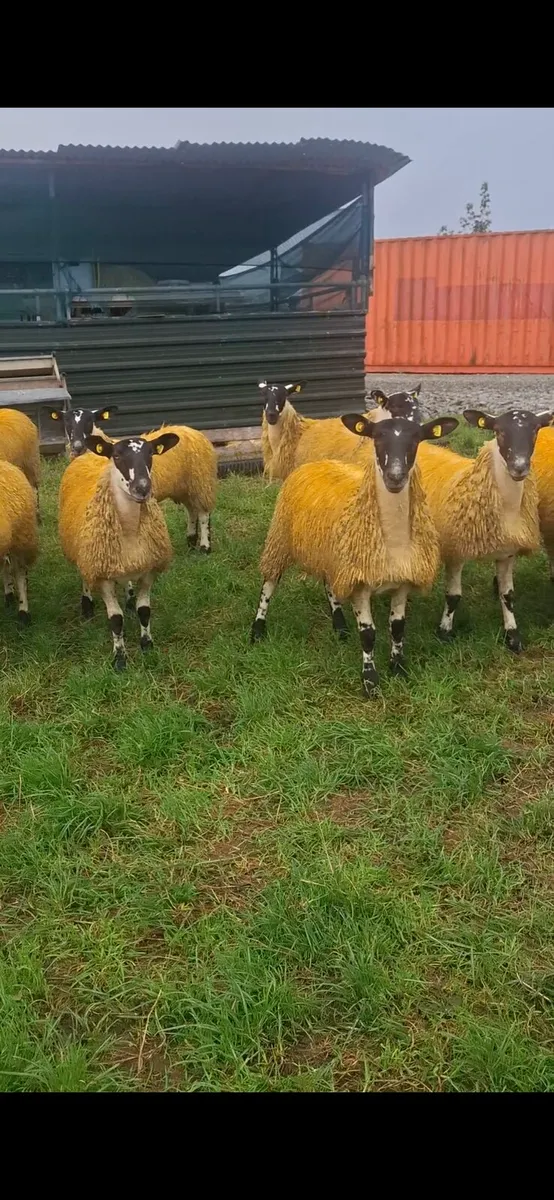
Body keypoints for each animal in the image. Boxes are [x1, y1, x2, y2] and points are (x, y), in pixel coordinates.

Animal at [58, 431, 179, 670]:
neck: (130, 530)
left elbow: (144, 610)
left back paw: (129, 598)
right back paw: (87, 606)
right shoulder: (103, 576)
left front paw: (147, 644)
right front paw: (120, 658)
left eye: (151, 453)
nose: (142, 488)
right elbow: (115, 619)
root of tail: (89, 454)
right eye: (116, 455)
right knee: (85, 577)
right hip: (86, 556)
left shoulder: (148, 570)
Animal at [250, 411, 459, 696]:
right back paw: (257, 630)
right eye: (377, 438)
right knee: (269, 584)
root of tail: (316, 463)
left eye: (416, 439)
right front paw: (370, 681)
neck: (390, 541)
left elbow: (397, 628)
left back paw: (339, 626)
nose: (395, 477)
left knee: (329, 585)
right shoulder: (360, 583)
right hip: (280, 538)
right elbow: (368, 634)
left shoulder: (403, 580)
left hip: (330, 555)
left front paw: (398, 667)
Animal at [416, 407, 554, 652]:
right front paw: (444, 631)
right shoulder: (456, 551)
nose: (519, 467)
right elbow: (453, 596)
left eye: (535, 430)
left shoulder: (508, 553)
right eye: (499, 431)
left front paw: (512, 635)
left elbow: (507, 595)